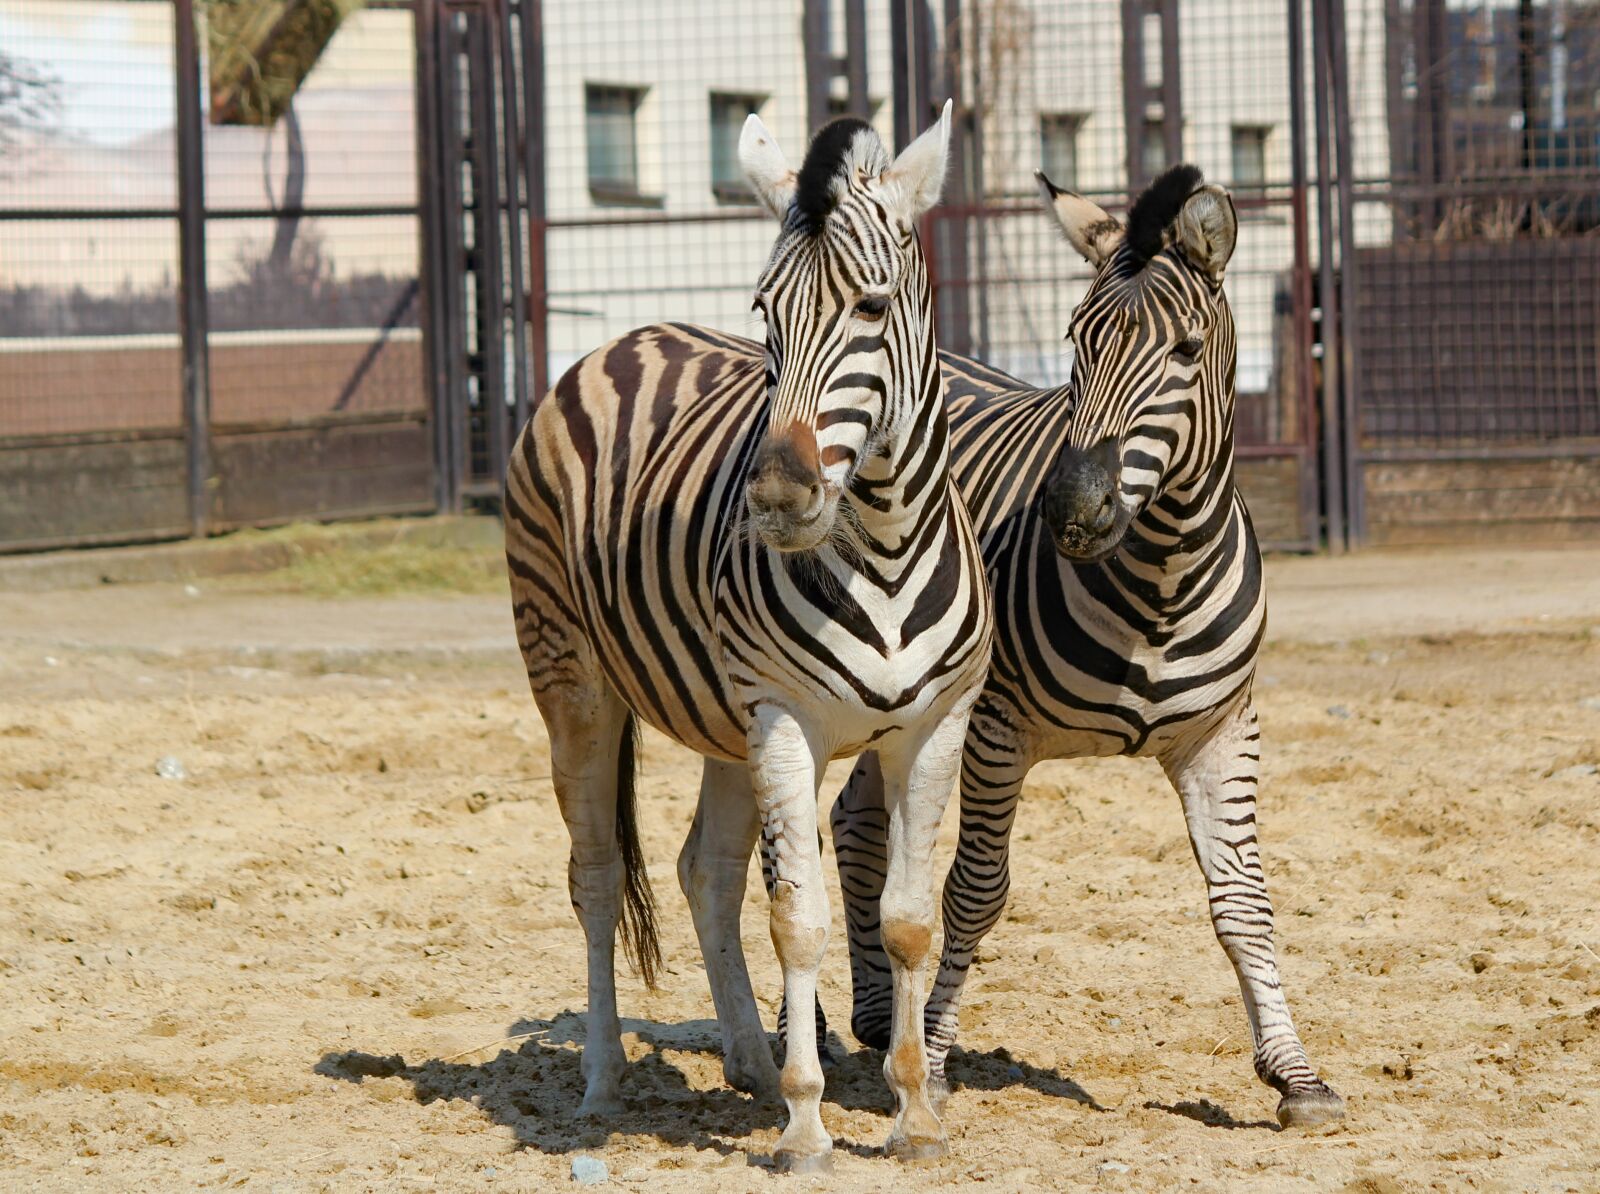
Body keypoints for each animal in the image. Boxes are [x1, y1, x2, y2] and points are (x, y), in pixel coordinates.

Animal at [503, 106, 992, 1171]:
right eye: (765, 315)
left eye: (871, 306)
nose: (773, 499)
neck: (882, 547)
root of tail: (624, 341)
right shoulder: (785, 721)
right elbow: (800, 920)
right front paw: (807, 1124)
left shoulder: (932, 726)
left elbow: (906, 922)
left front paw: (913, 1114)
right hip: (573, 679)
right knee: (596, 875)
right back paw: (604, 1083)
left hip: (721, 716)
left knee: (705, 869)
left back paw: (752, 1066)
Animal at [757, 164, 1344, 1128]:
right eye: (1077, 341)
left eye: (1187, 351)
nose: (1072, 506)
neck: (1160, 578)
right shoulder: (996, 730)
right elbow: (974, 892)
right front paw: (939, 1058)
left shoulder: (1223, 735)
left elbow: (1244, 902)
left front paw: (1295, 1074)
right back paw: (808, 1030)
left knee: (853, 820)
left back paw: (880, 1017)